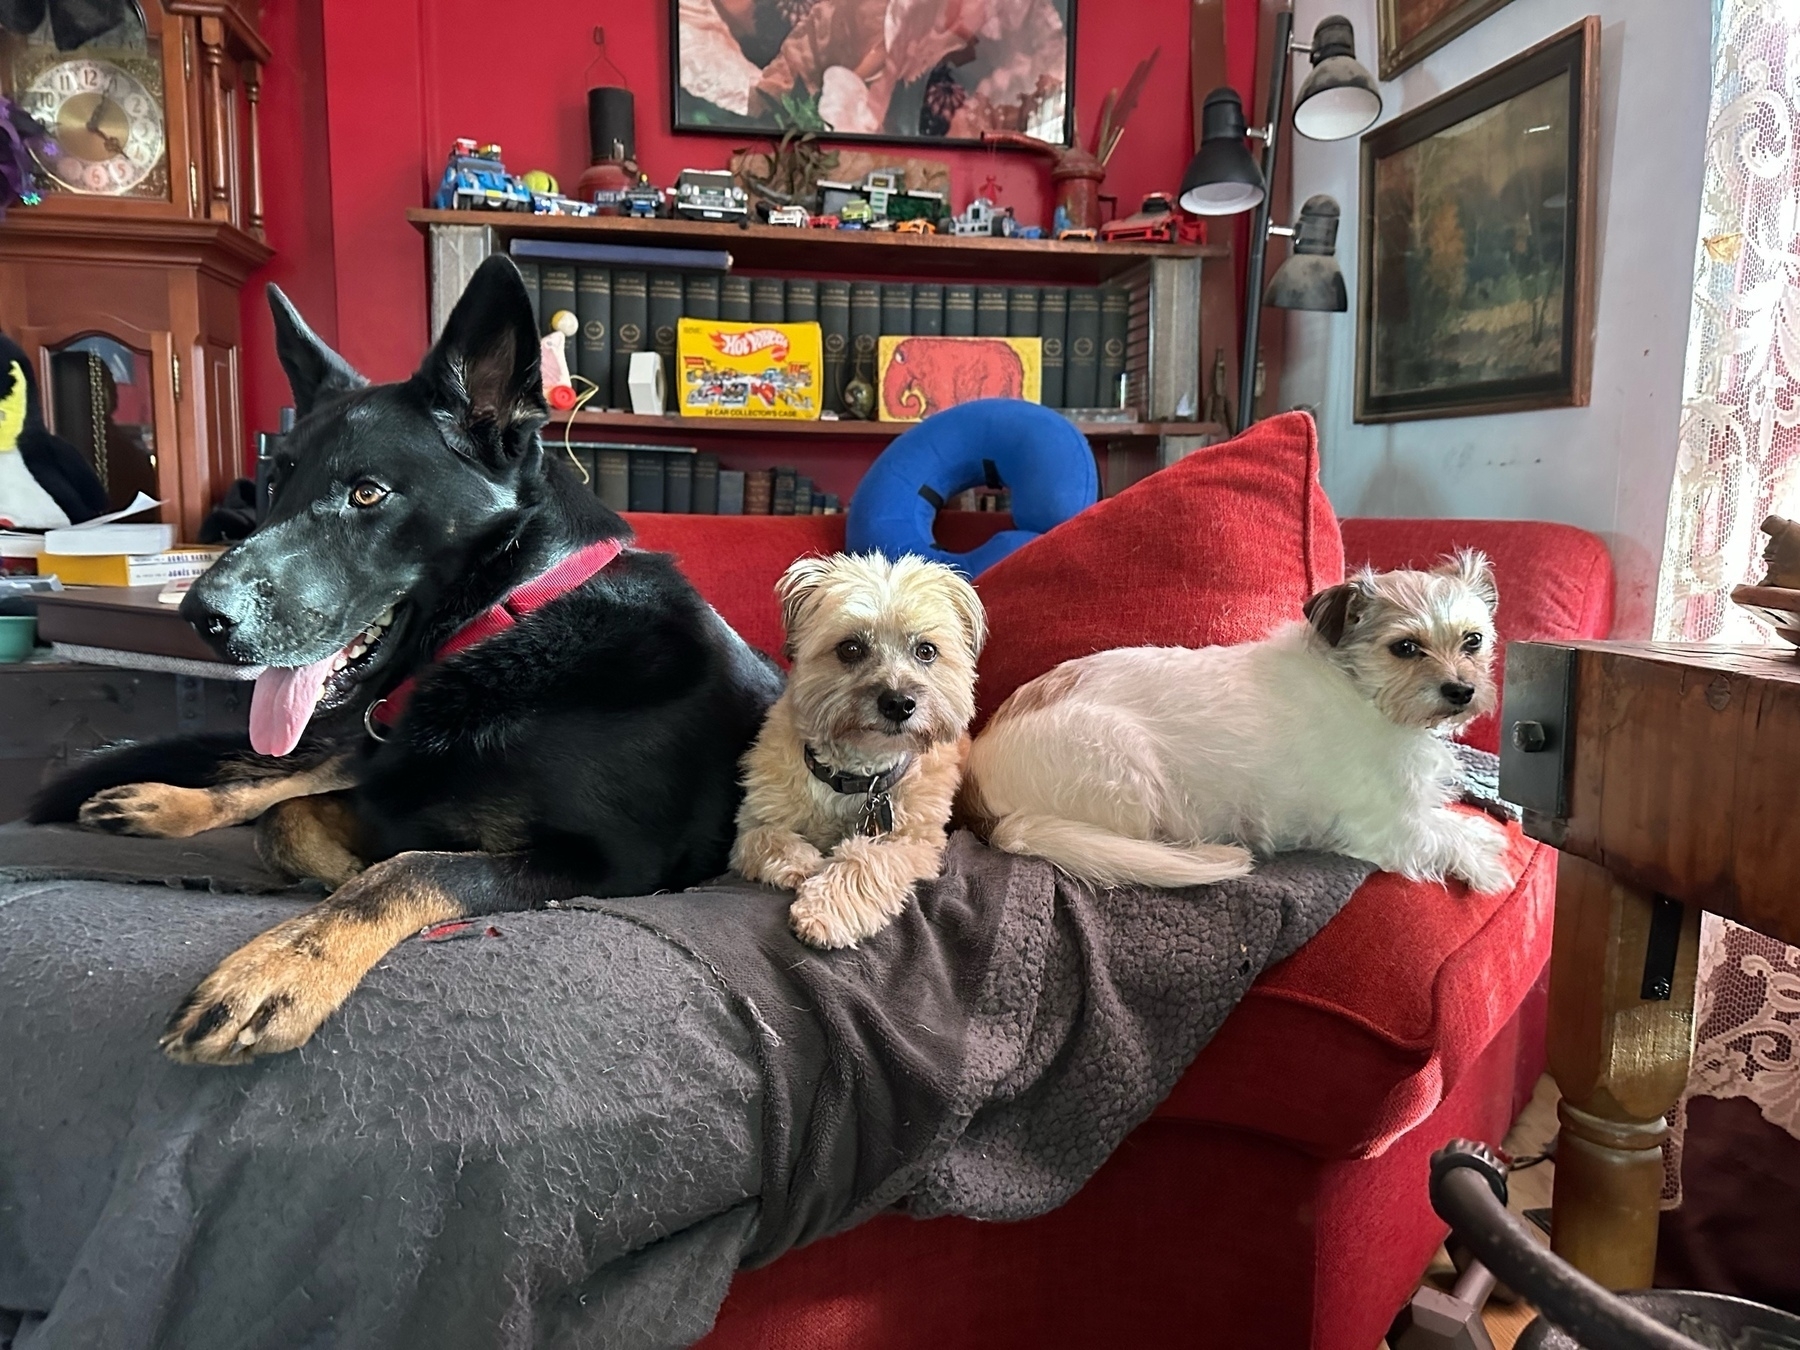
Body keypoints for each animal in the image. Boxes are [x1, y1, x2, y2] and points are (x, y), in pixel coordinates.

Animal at [28, 255, 784, 1065]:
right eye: (274, 481)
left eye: (367, 493)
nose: (201, 617)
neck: (509, 619)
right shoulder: (391, 788)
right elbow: (288, 817)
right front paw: (327, 875)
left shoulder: (611, 862)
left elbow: (405, 867)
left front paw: (281, 963)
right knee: (270, 784)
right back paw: (158, 802)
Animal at [727, 550, 986, 950]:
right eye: (850, 648)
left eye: (926, 650)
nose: (898, 703)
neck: (859, 774)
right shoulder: (752, 823)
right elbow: (767, 836)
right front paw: (804, 863)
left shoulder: (915, 843)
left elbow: (869, 858)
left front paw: (825, 909)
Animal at [964, 550, 1512, 900]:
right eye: (1405, 647)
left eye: (1473, 641)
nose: (1461, 691)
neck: (1363, 692)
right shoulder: (1384, 827)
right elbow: (1441, 837)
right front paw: (1487, 866)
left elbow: (1446, 821)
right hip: (1127, 767)